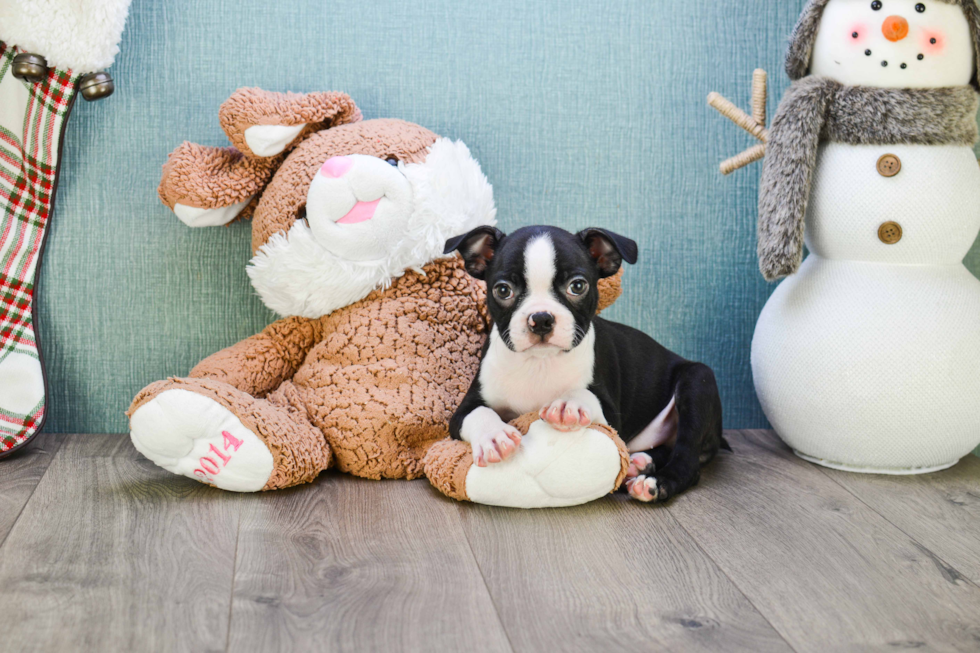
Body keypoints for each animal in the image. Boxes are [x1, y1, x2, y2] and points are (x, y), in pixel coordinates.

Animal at [444, 225, 728, 504]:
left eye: (578, 286)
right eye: (503, 290)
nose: (541, 318)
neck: (540, 362)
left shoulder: (612, 416)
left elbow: (585, 395)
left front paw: (568, 403)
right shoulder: (463, 410)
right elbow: (479, 413)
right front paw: (494, 437)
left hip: (697, 381)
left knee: (686, 458)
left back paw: (655, 482)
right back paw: (640, 462)